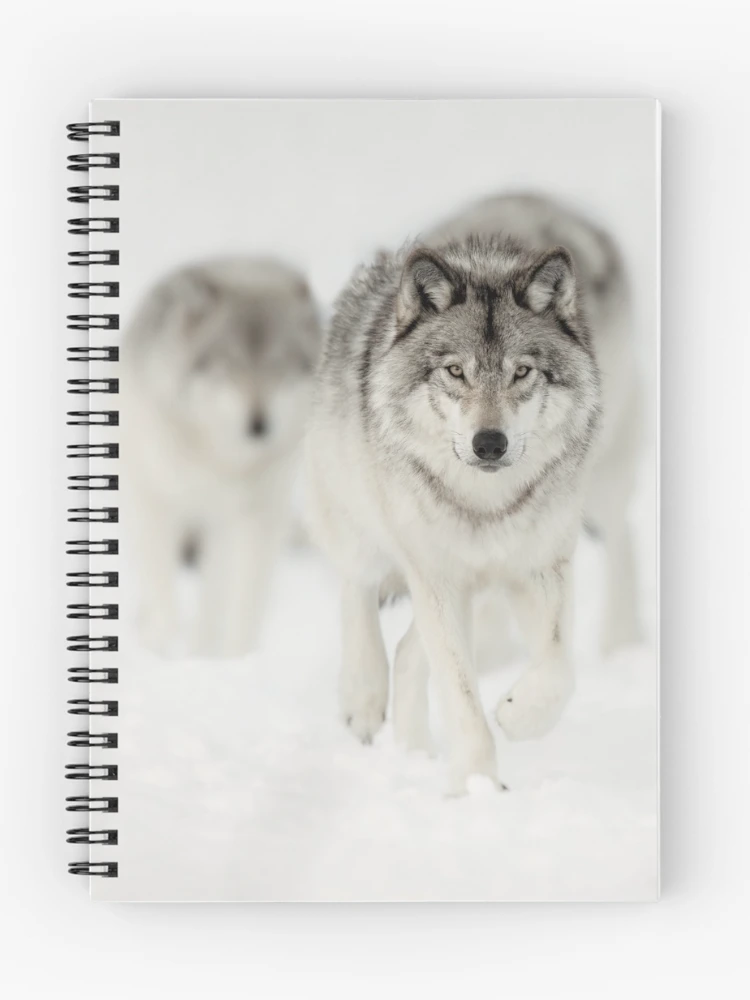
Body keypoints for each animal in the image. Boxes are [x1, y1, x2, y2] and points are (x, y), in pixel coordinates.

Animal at [122, 257, 321, 657]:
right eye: (229, 365)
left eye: (278, 366)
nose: (258, 425)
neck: (219, 456)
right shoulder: (157, 504)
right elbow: (163, 588)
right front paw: (164, 648)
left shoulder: (239, 518)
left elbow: (230, 601)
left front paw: (220, 655)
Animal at [306, 197, 603, 792]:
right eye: (455, 371)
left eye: (521, 372)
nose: (489, 443)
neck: (487, 504)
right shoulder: (437, 579)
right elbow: (462, 699)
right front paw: (476, 786)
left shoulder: (540, 568)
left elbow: (559, 667)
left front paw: (517, 715)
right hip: (368, 527)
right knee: (358, 589)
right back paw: (363, 698)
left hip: (475, 592)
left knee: (408, 652)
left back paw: (413, 750)